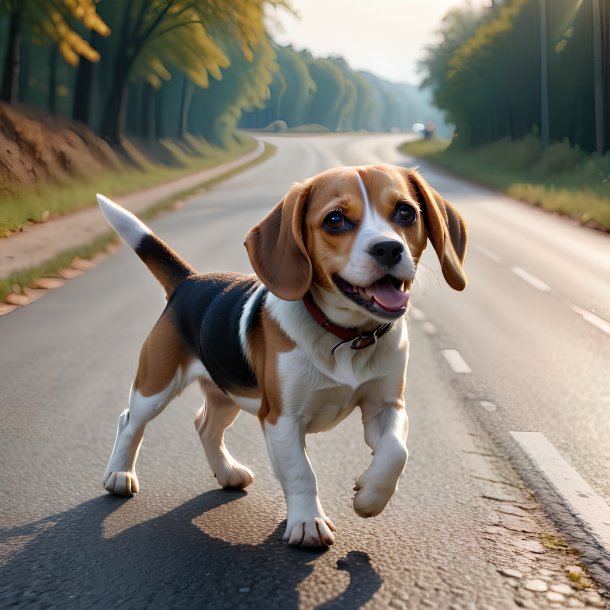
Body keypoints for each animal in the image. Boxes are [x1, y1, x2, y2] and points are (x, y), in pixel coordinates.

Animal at [97, 163, 466, 548]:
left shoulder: (386, 406)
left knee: (205, 425)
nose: (389, 249)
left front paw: (370, 497)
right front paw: (307, 523)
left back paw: (227, 473)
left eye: (406, 212)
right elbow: (301, 473)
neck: (345, 336)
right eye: (335, 220)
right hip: (156, 383)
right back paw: (119, 475)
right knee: (130, 420)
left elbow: (396, 452)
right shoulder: (281, 418)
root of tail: (189, 280)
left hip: (226, 393)